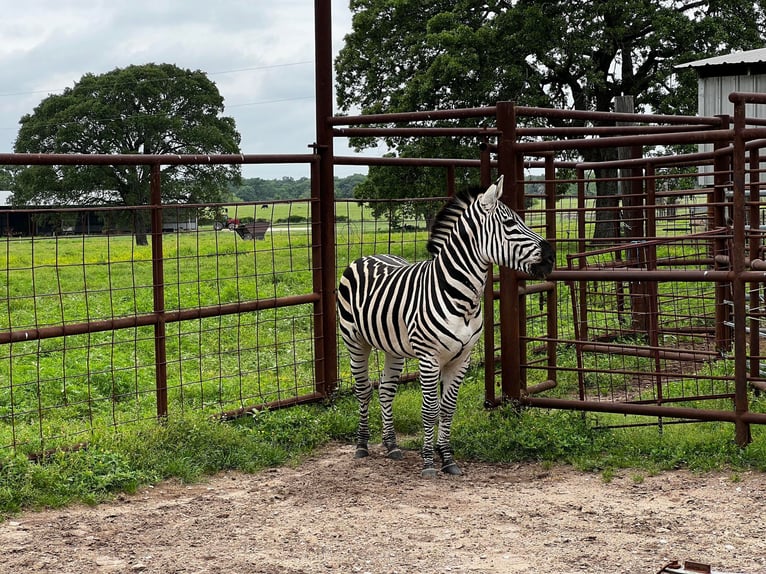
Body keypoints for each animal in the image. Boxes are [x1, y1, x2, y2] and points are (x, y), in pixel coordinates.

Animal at [340, 178, 556, 480]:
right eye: (510, 223)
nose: (551, 256)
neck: (462, 299)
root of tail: (369, 255)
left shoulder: (462, 358)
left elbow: (448, 408)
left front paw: (447, 458)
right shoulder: (429, 358)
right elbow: (430, 409)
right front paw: (429, 462)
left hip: (393, 347)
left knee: (386, 390)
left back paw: (392, 445)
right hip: (355, 341)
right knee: (363, 390)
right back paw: (361, 445)